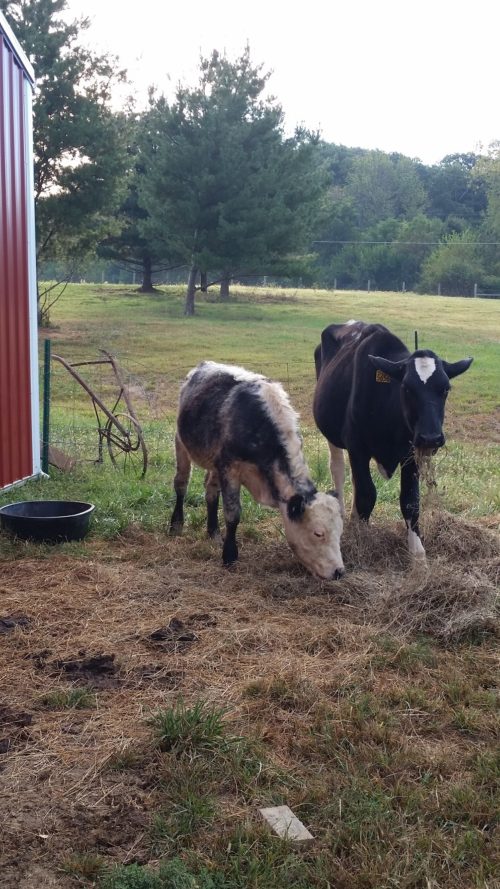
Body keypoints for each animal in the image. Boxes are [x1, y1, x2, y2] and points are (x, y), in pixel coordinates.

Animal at [312, 320, 472, 556]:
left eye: (445, 389)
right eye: (406, 388)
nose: (431, 437)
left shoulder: (411, 453)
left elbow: (410, 501)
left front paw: (418, 556)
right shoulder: (357, 446)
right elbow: (367, 494)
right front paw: (361, 542)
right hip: (331, 432)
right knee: (338, 469)